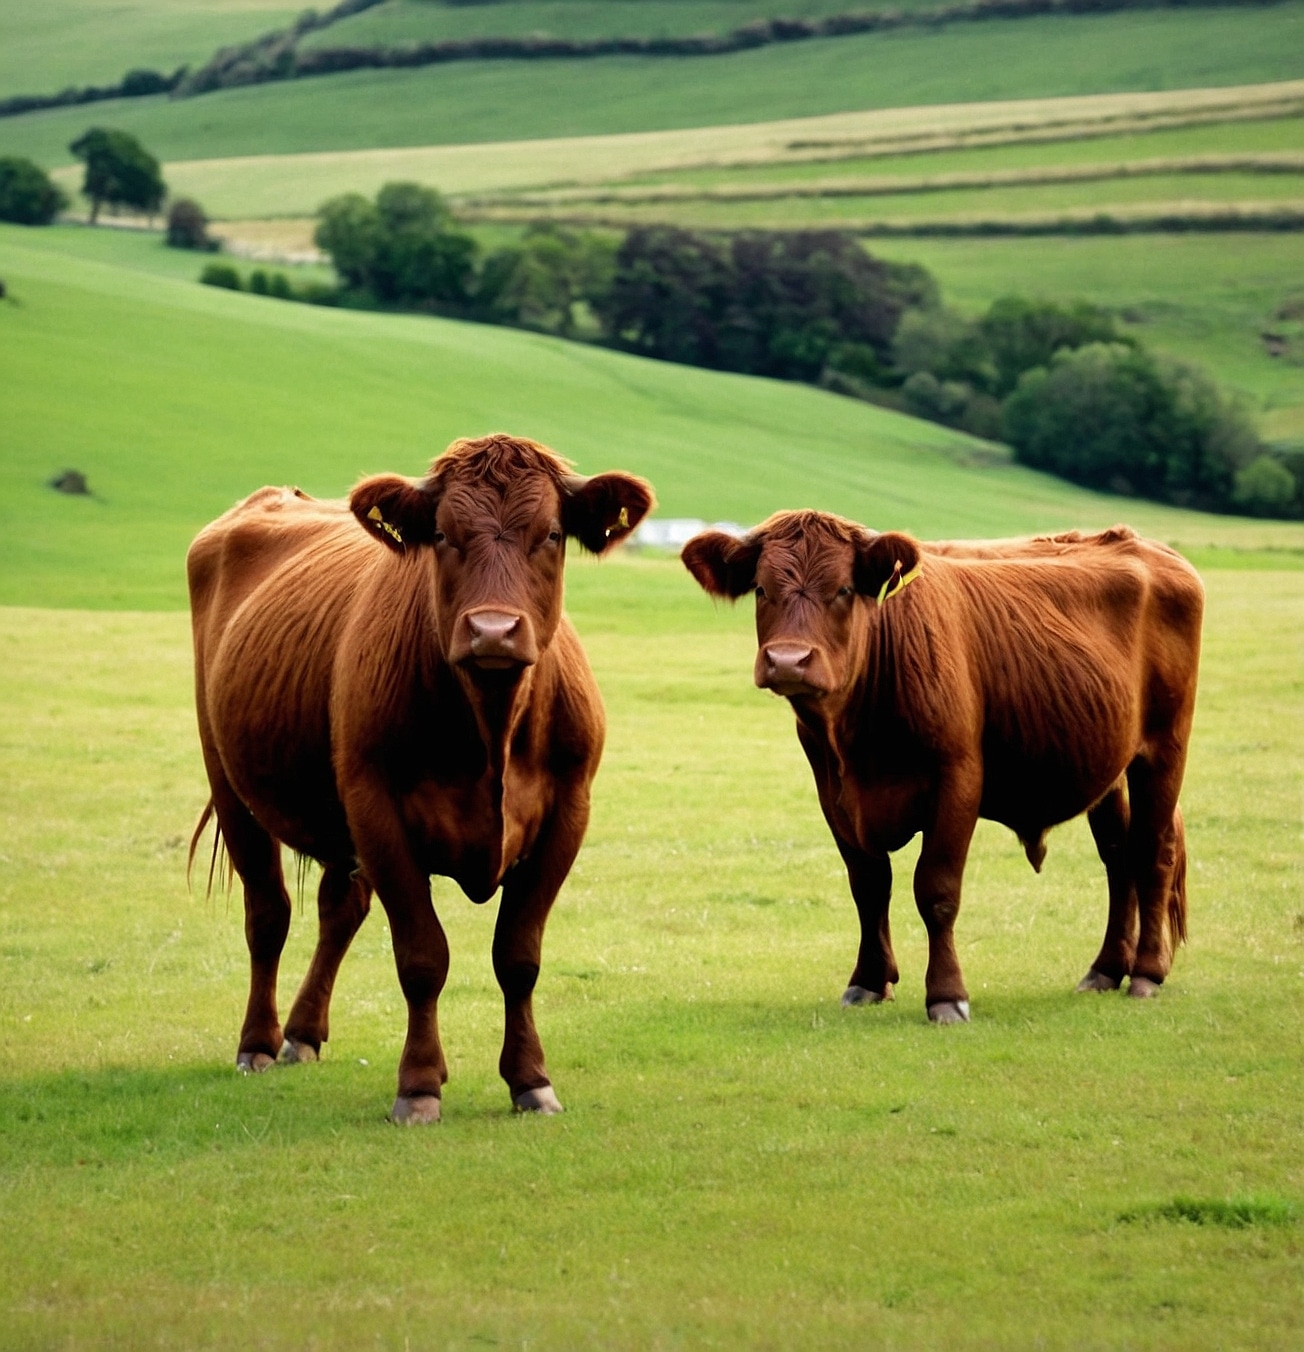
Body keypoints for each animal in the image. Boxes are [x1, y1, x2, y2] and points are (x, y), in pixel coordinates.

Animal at [188, 434, 654, 1122]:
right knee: (268, 913)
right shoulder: (377, 808)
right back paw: (259, 1043)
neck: (491, 725)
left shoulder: (567, 813)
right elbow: (422, 957)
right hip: (230, 783)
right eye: (442, 534)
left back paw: (304, 1033)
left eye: (550, 534)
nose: (493, 631)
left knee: (338, 908)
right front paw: (419, 1086)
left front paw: (530, 1080)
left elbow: (519, 954)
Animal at [682, 514, 1202, 1022]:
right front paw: (868, 981)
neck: (858, 737)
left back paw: (1146, 973)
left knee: (1153, 850)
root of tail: (1154, 549)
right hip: (1109, 770)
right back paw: (1106, 970)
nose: (789, 660)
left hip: (1163, 751)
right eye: (762, 589)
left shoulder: (958, 780)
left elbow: (936, 890)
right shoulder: (833, 792)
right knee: (1118, 857)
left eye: (844, 589)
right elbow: (868, 886)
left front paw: (947, 995)